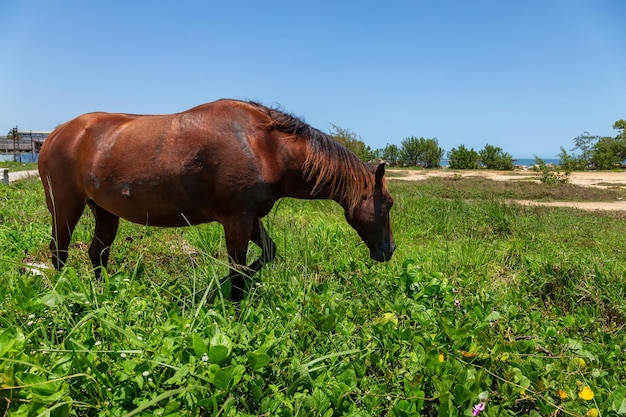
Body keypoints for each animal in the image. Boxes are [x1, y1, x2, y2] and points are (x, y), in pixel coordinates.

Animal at [37, 98, 394, 300]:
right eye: (389, 204)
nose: (388, 250)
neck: (266, 147)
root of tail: (55, 134)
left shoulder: (251, 217)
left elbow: (265, 254)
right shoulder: (237, 220)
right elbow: (237, 270)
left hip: (104, 211)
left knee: (97, 254)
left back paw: (104, 295)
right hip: (65, 207)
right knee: (59, 252)